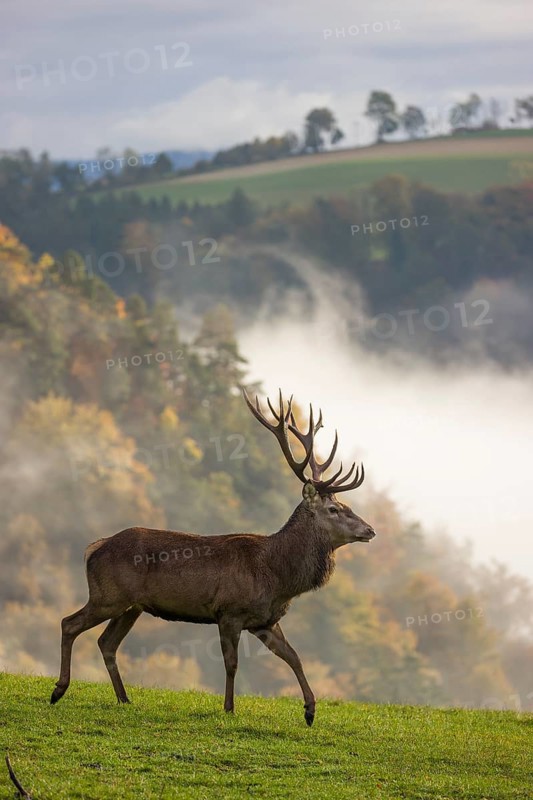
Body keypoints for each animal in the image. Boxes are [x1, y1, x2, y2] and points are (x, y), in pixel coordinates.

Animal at [51, 389, 375, 726]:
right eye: (334, 509)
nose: (370, 529)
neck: (278, 577)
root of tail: (93, 548)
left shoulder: (265, 620)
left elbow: (294, 657)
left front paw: (310, 710)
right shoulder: (229, 611)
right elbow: (232, 663)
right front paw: (229, 708)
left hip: (131, 606)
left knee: (106, 642)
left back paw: (124, 698)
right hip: (108, 595)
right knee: (68, 623)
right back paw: (59, 689)